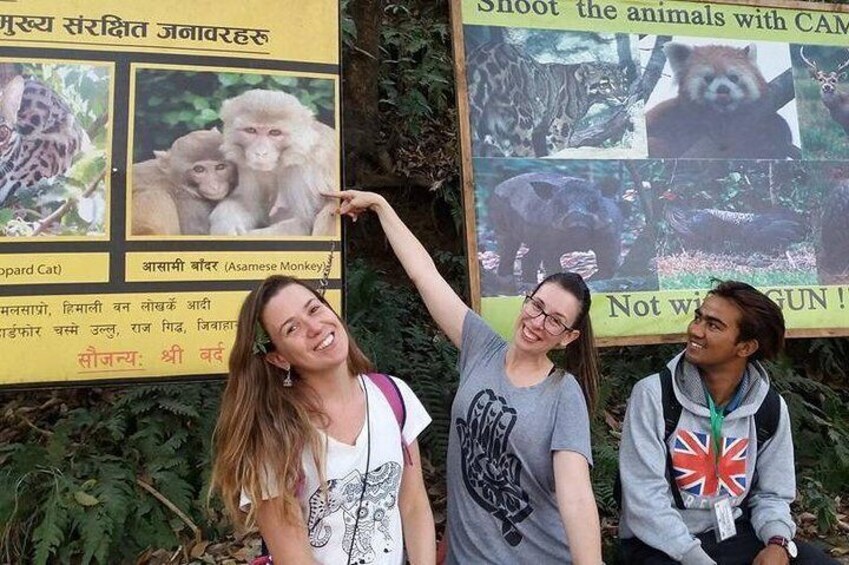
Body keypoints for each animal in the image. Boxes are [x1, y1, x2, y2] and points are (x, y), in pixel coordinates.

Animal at [209, 90, 338, 236]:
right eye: (251, 130)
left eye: (275, 132)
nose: (261, 153)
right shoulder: (249, 168)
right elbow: (247, 204)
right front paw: (226, 227)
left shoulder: (308, 171)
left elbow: (301, 224)